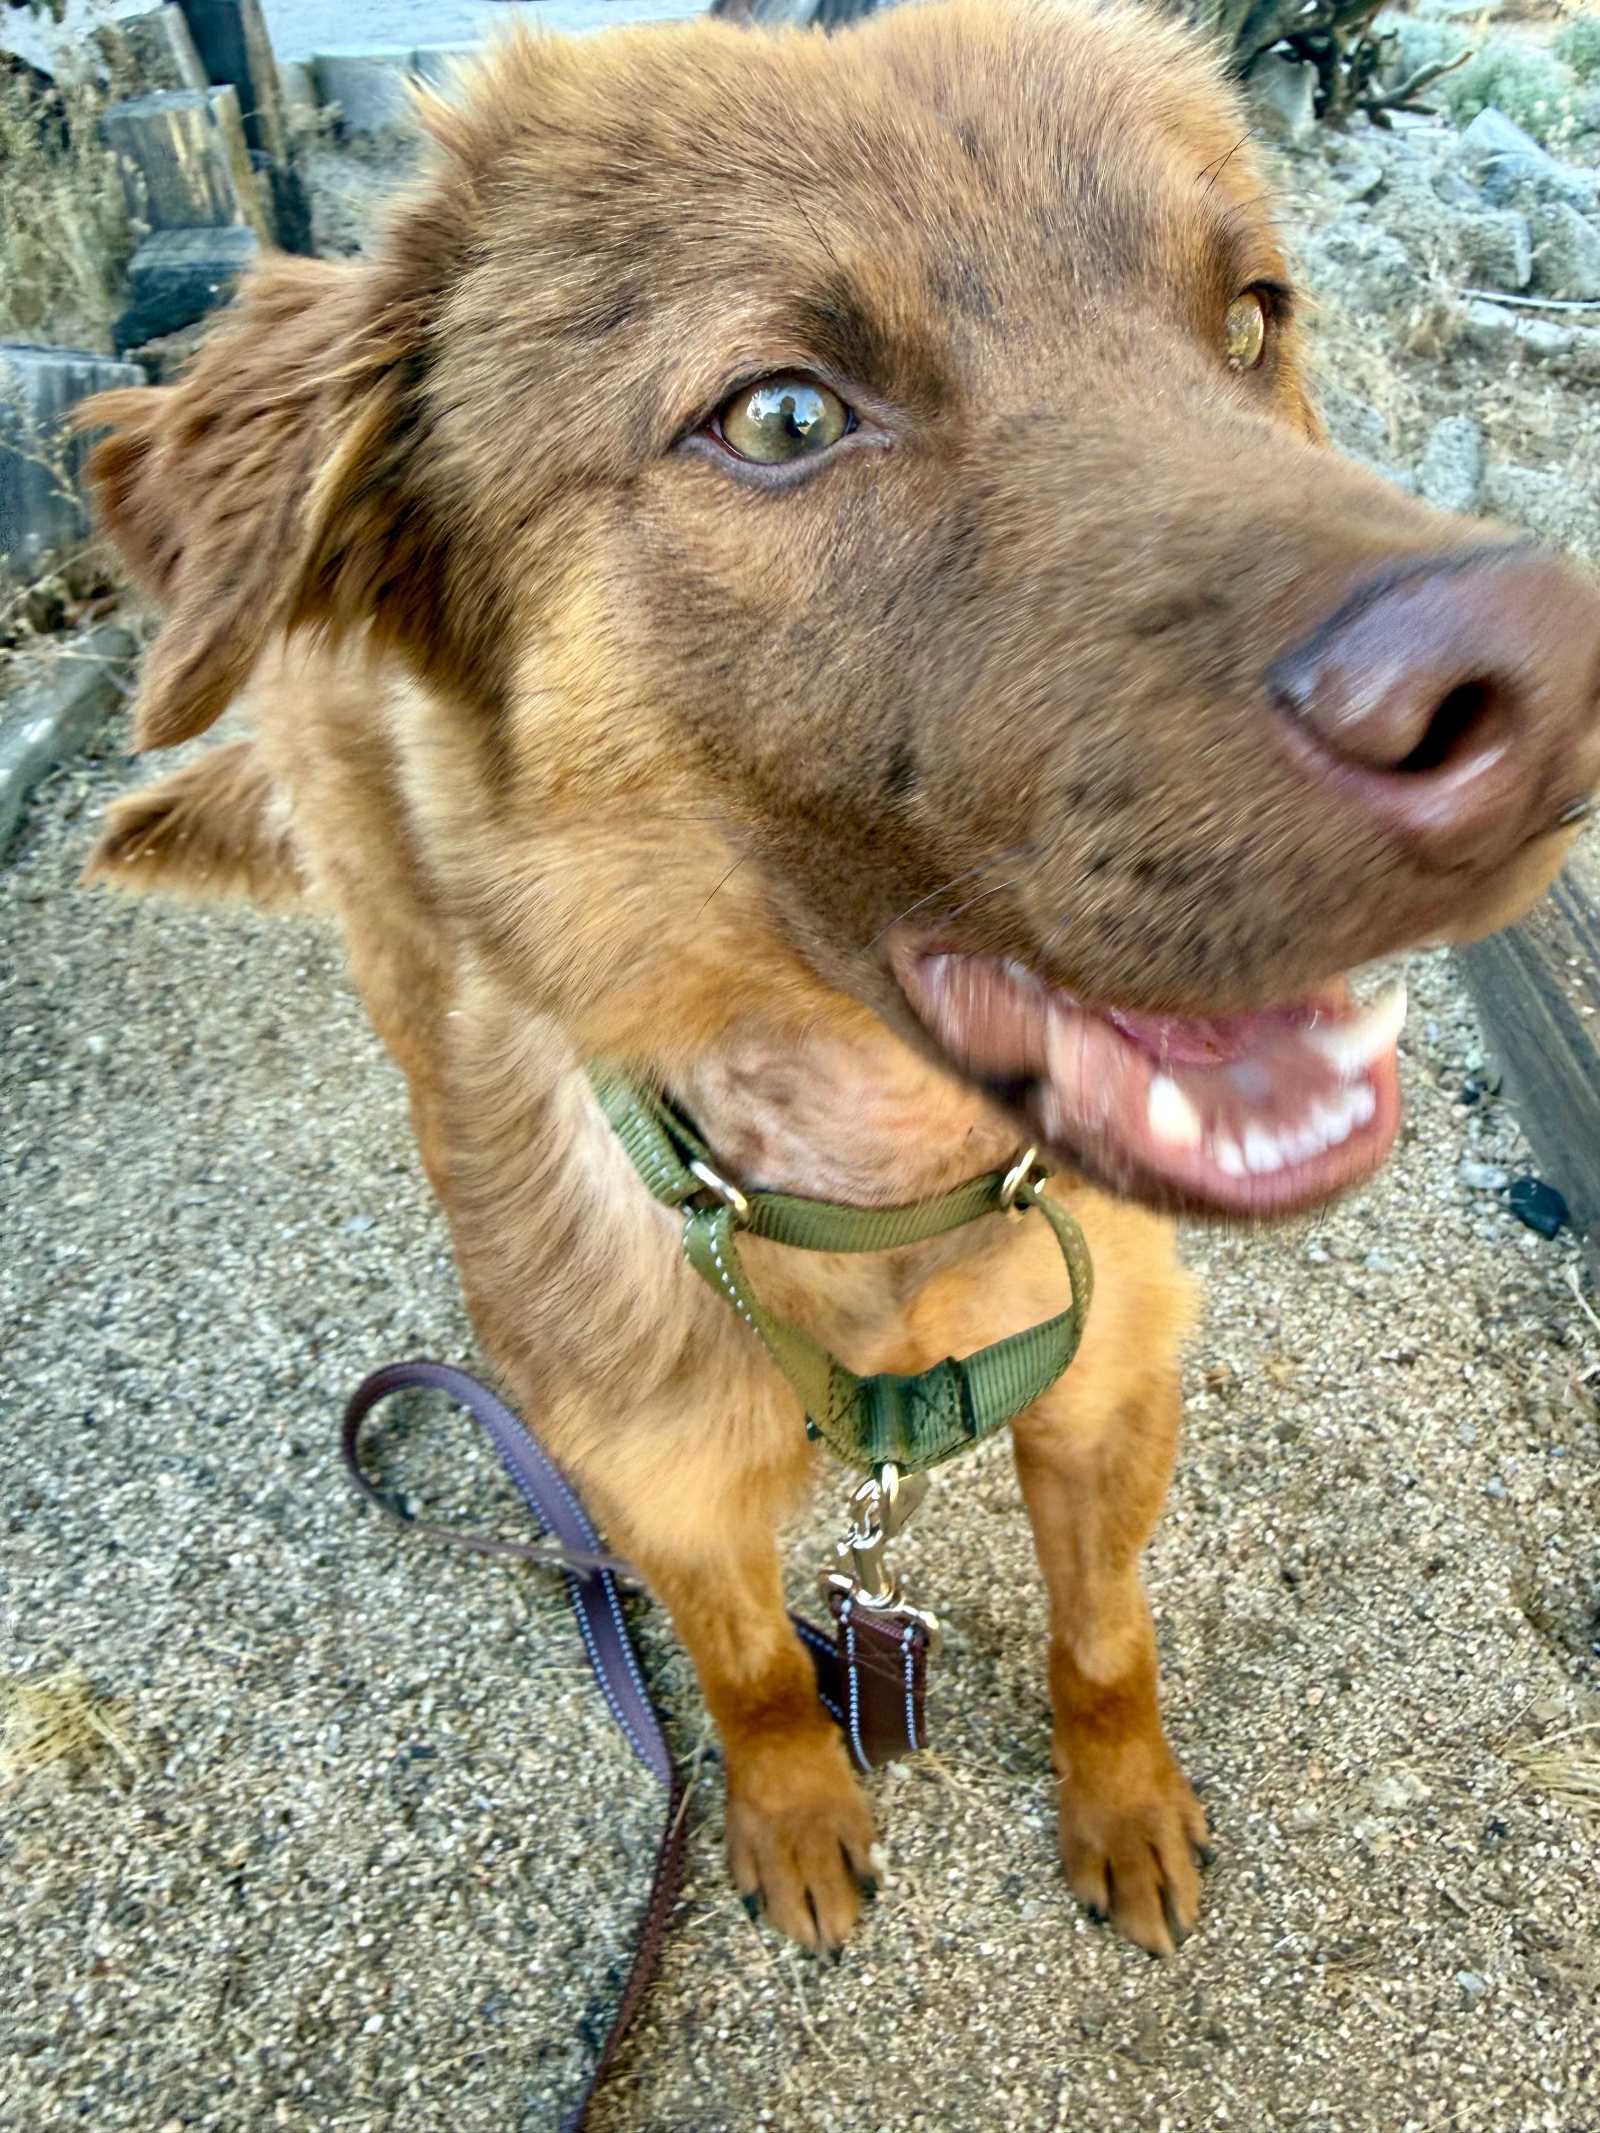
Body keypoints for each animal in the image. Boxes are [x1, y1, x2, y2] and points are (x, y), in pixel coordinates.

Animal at [81, 0, 1600, 1960]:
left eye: (1251, 318)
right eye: (786, 414)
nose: (1548, 686)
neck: (879, 1202)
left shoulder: (1112, 1387)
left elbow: (1104, 1637)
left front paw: (1126, 1806)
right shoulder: (666, 1489)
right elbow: (747, 1676)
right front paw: (799, 1813)